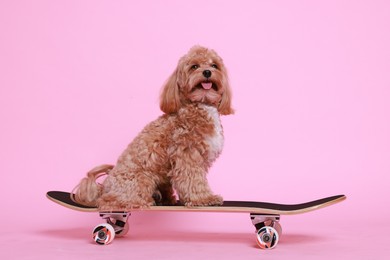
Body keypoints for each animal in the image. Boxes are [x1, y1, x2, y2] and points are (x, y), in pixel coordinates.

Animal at [73, 45, 233, 210]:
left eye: (214, 65)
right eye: (194, 66)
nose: (207, 72)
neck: (201, 104)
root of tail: (105, 186)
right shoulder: (187, 153)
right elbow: (193, 179)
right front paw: (203, 198)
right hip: (140, 180)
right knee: (108, 201)